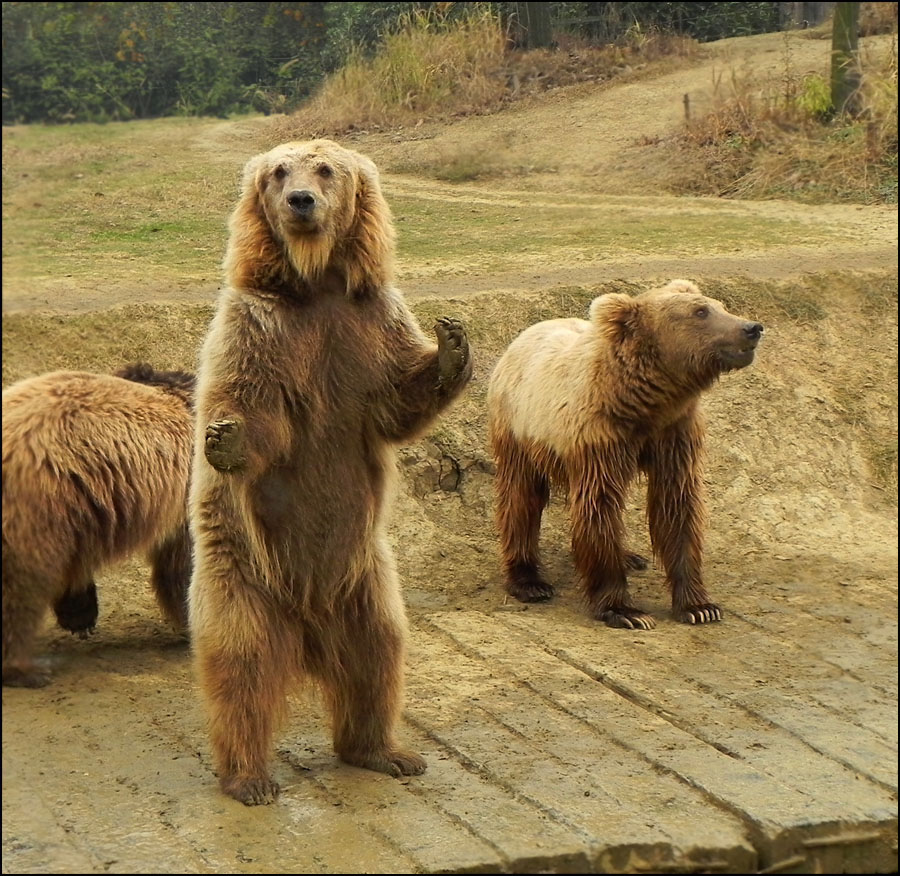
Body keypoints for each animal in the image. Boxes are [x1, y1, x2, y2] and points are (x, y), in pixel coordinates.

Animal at [488, 280, 764, 628]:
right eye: (700, 311)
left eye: (720, 305)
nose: (752, 328)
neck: (645, 402)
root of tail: (524, 334)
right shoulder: (600, 438)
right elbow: (599, 507)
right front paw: (626, 611)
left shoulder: (674, 434)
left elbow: (678, 506)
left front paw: (700, 606)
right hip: (520, 428)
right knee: (522, 496)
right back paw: (529, 581)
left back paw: (631, 557)